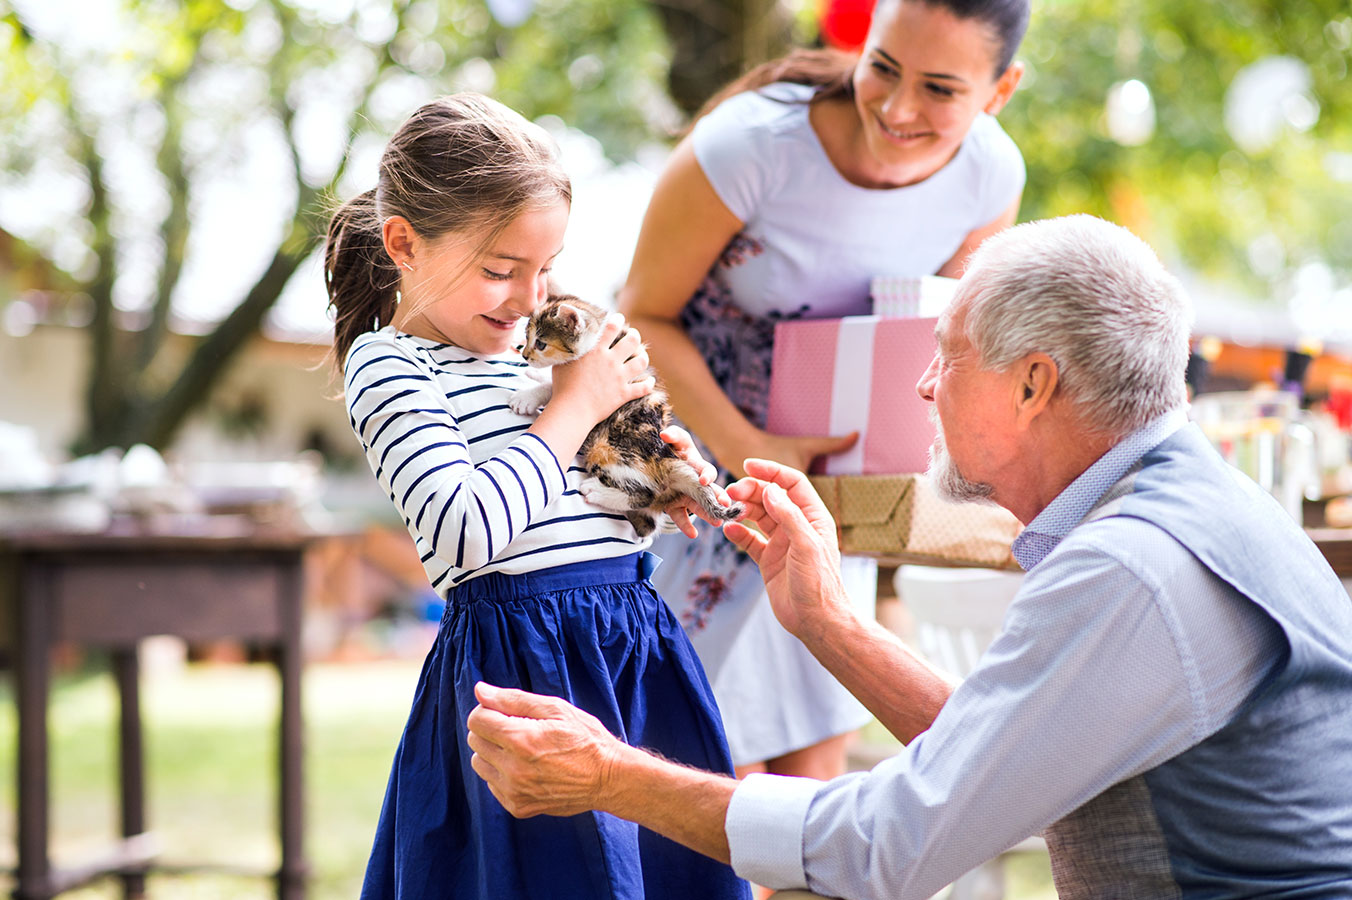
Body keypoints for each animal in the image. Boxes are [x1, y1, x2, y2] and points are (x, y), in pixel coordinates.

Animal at [508, 294, 746, 535]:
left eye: (540, 343)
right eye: (527, 337)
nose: (524, 355)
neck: (599, 336)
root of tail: (665, 456)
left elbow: (553, 387)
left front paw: (528, 396)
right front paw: (535, 374)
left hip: (608, 448)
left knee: (645, 494)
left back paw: (596, 491)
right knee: (650, 521)